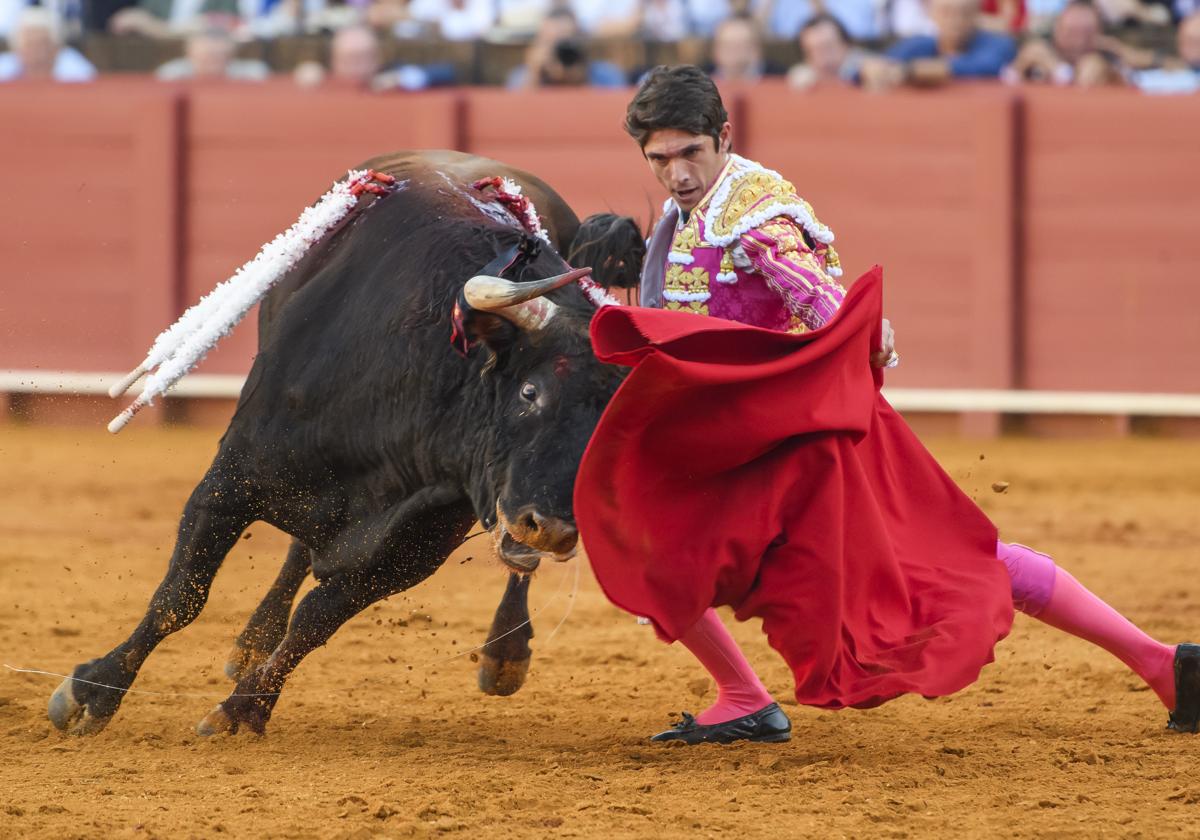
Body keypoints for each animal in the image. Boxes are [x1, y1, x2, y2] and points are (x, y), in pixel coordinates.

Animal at [44, 151, 628, 734]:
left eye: (606, 422)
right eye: (530, 391)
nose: (552, 529)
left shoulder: (406, 554)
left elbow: (314, 622)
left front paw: (243, 709)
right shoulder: (231, 481)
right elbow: (181, 595)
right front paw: (93, 693)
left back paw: (503, 655)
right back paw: (250, 644)